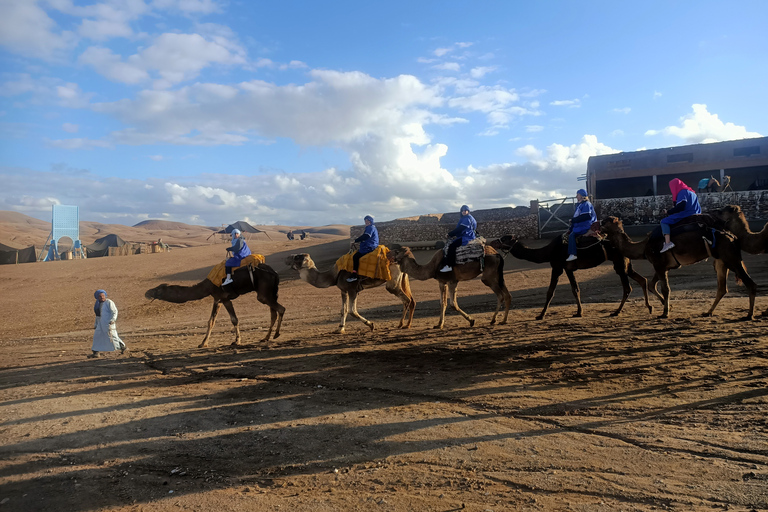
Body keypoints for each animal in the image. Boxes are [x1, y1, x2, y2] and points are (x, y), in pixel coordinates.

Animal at [145, 264, 284, 348]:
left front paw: (237, 341)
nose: (147, 293)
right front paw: (203, 343)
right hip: (270, 292)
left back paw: (276, 334)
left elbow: (234, 319)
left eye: (158, 289)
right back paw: (266, 337)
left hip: (264, 293)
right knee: (273, 313)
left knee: (280, 309)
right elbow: (211, 321)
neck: (208, 286)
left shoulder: (225, 298)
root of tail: (275, 273)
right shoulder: (217, 300)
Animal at [284, 254, 414, 334]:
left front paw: (371, 325)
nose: (286, 258)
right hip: (402, 279)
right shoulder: (343, 290)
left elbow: (352, 311)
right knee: (411, 300)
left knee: (406, 299)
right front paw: (340, 329)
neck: (333, 275)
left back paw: (401, 324)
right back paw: (407, 325)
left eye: (297, 256)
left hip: (392, 282)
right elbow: (344, 310)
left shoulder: (353, 289)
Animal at [492, 235, 648, 320]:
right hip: (626, 263)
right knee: (642, 279)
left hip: (619, 263)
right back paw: (649, 307)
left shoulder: (557, 267)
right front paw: (579, 312)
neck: (548, 251)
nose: (493, 242)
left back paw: (616, 312)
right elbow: (575, 289)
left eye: (505, 238)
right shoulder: (568, 269)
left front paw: (540, 315)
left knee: (627, 287)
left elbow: (550, 292)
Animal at [600, 214, 756, 318]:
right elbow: (651, 285)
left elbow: (665, 289)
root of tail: (732, 236)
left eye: (605, 221)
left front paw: (665, 313)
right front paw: (667, 306)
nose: (598, 222)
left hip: (731, 259)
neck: (643, 247)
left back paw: (749, 315)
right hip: (722, 260)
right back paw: (708, 312)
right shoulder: (662, 266)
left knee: (749, 283)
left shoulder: (659, 264)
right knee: (722, 288)